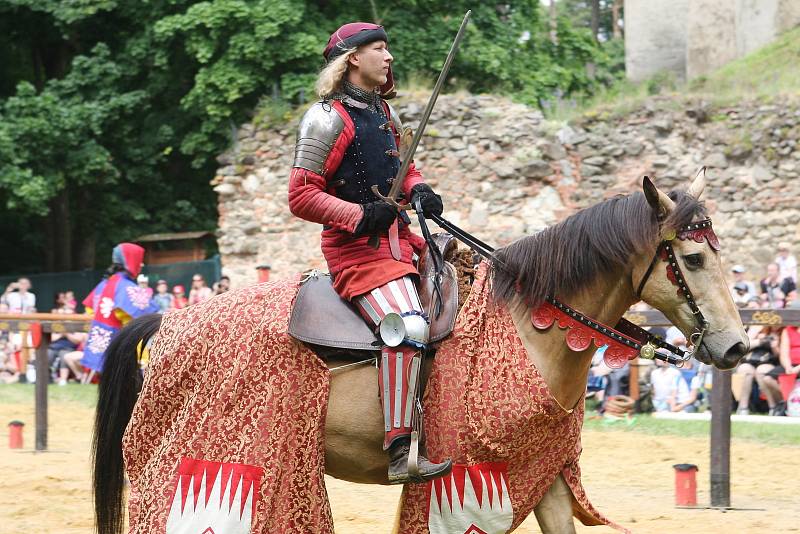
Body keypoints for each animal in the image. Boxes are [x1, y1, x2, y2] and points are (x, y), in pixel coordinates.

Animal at [94, 173, 752, 534]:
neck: (527, 326)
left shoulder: (543, 473)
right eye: (693, 259)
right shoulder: (468, 481)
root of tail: (168, 319)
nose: (738, 346)